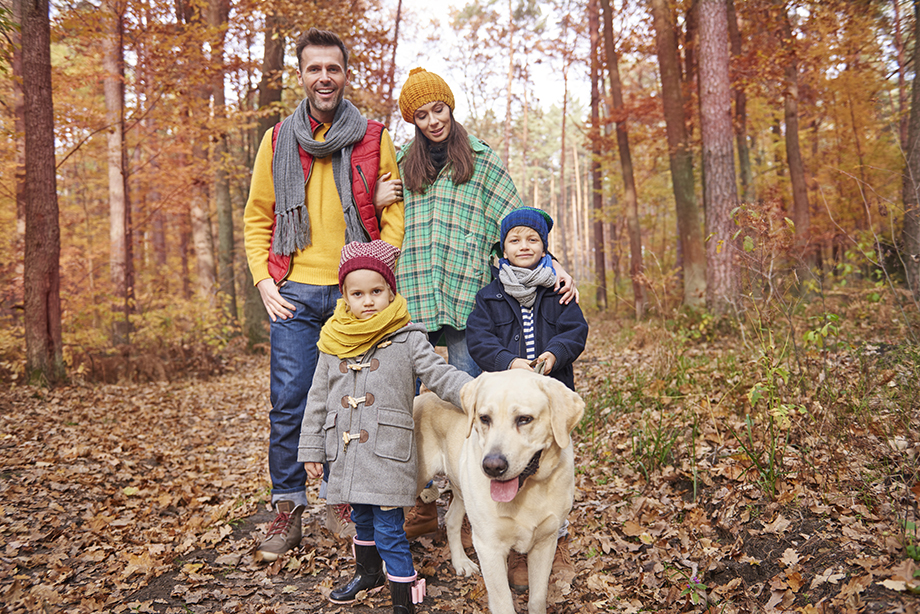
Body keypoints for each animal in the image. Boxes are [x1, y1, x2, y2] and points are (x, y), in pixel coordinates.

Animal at [416, 370, 584, 614]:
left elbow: (537, 598)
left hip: (461, 490)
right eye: (484, 418)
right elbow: (503, 602)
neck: (530, 488)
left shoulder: (545, 542)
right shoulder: (489, 546)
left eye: (524, 419)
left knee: (451, 519)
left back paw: (461, 562)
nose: (492, 467)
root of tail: (424, 396)